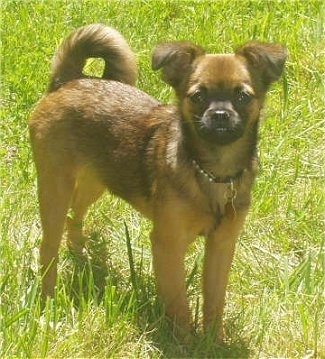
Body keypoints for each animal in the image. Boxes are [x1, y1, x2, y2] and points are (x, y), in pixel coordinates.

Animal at [29, 24, 284, 340]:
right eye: (197, 97)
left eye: (243, 96)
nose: (220, 115)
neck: (213, 172)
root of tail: (68, 82)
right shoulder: (168, 243)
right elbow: (177, 300)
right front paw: (184, 340)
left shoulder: (222, 244)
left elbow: (215, 298)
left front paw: (214, 340)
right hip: (55, 186)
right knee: (48, 246)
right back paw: (48, 299)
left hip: (97, 179)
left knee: (74, 215)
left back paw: (80, 254)